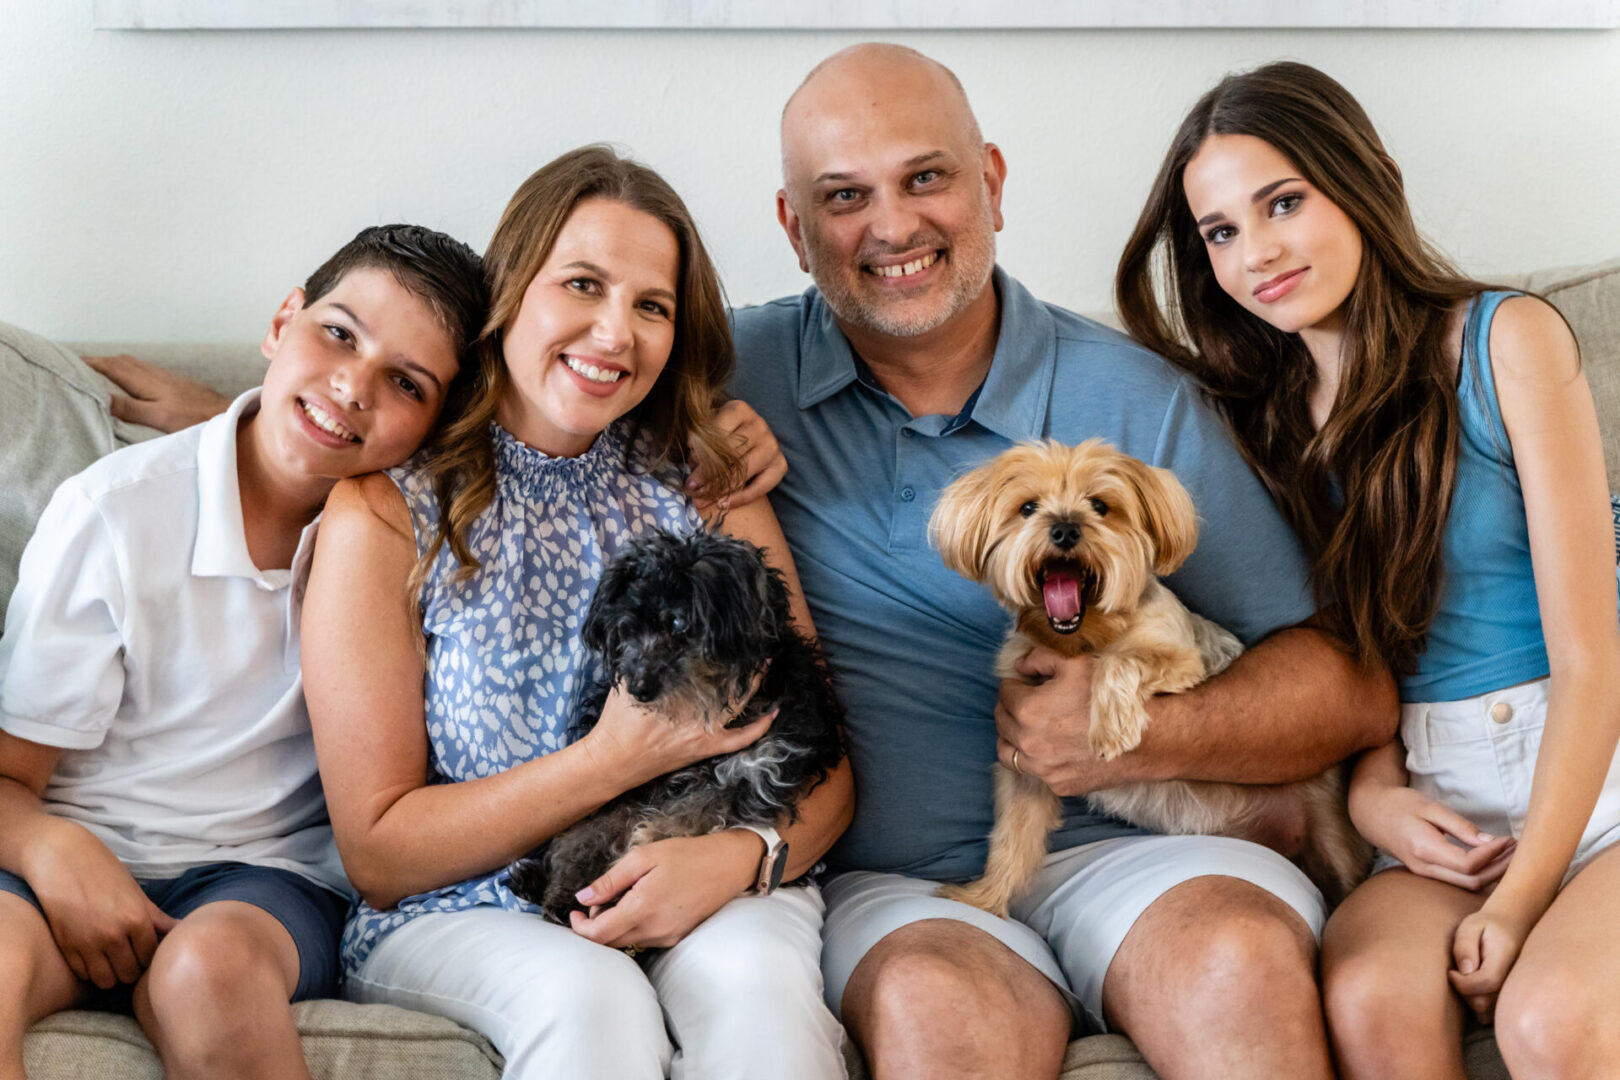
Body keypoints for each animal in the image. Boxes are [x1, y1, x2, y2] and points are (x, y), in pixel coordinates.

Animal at [508, 527, 848, 926]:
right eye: (628, 628)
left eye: (676, 623)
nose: (639, 688)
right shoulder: (628, 785)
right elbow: (586, 835)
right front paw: (564, 891)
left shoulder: (750, 774)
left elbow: (673, 828)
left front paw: (621, 879)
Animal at [926, 443, 1367, 919]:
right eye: (1027, 508)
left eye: (1100, 506)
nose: (1064, 529)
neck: (1085, 637)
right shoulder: (1025, 767)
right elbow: (1012, 838)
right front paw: (984, 899)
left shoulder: (1181, 660)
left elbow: (1121, 661)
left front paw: (1109, 728)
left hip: (1332, 832)